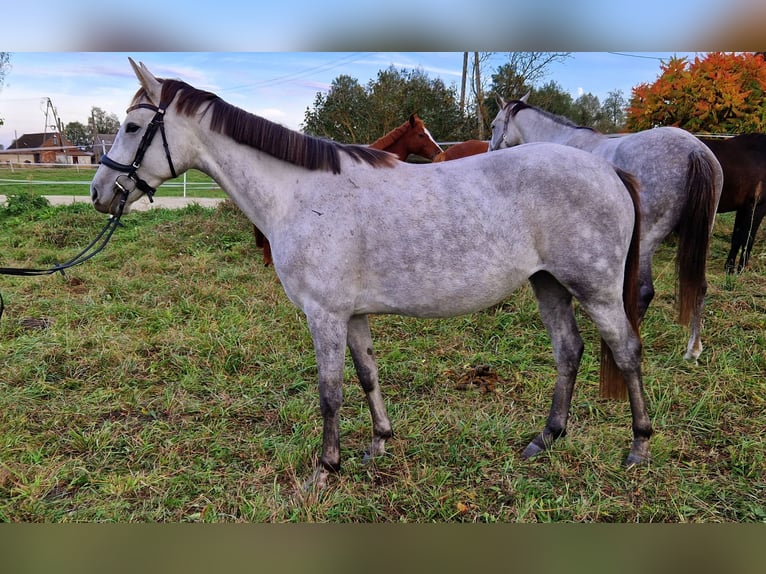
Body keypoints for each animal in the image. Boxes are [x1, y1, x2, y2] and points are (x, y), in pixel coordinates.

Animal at [704, 134, 766, 274]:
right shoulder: (757, 207)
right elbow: (748, 239)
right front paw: (741, 270)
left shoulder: (743, 208)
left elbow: (736, 238)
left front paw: (729, 269)